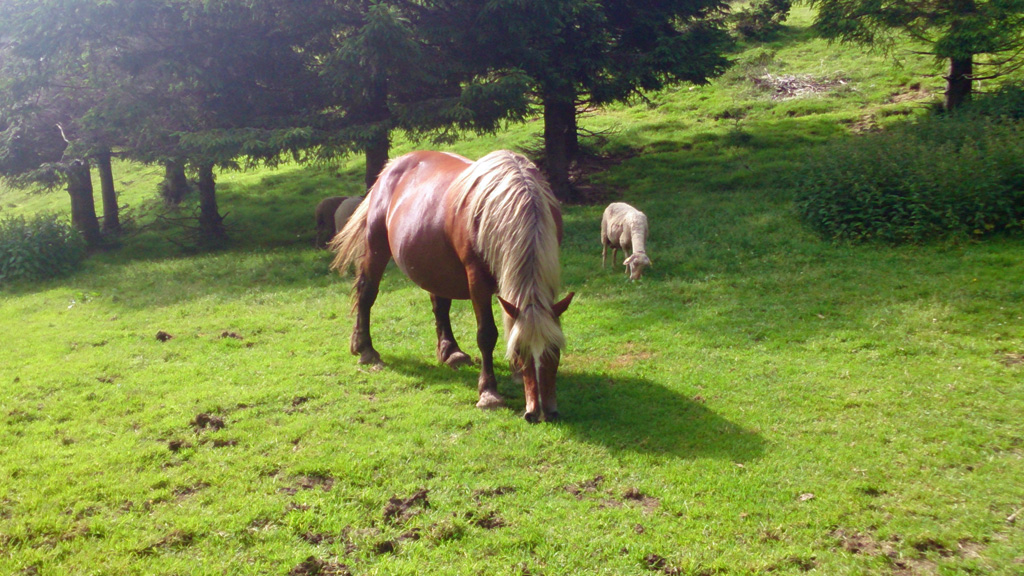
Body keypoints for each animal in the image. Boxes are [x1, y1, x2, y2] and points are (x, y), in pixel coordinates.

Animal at [329, 150, 573, 420]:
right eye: (521, 351)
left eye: (555, 350)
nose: (541, 413)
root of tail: (392, 165)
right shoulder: (477, 279)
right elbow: (487, 334)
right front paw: (489, 393)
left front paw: (515, 374)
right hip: (377, 248)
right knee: (367, 293)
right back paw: (366, 349)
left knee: (440, 306)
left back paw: (451, 352)